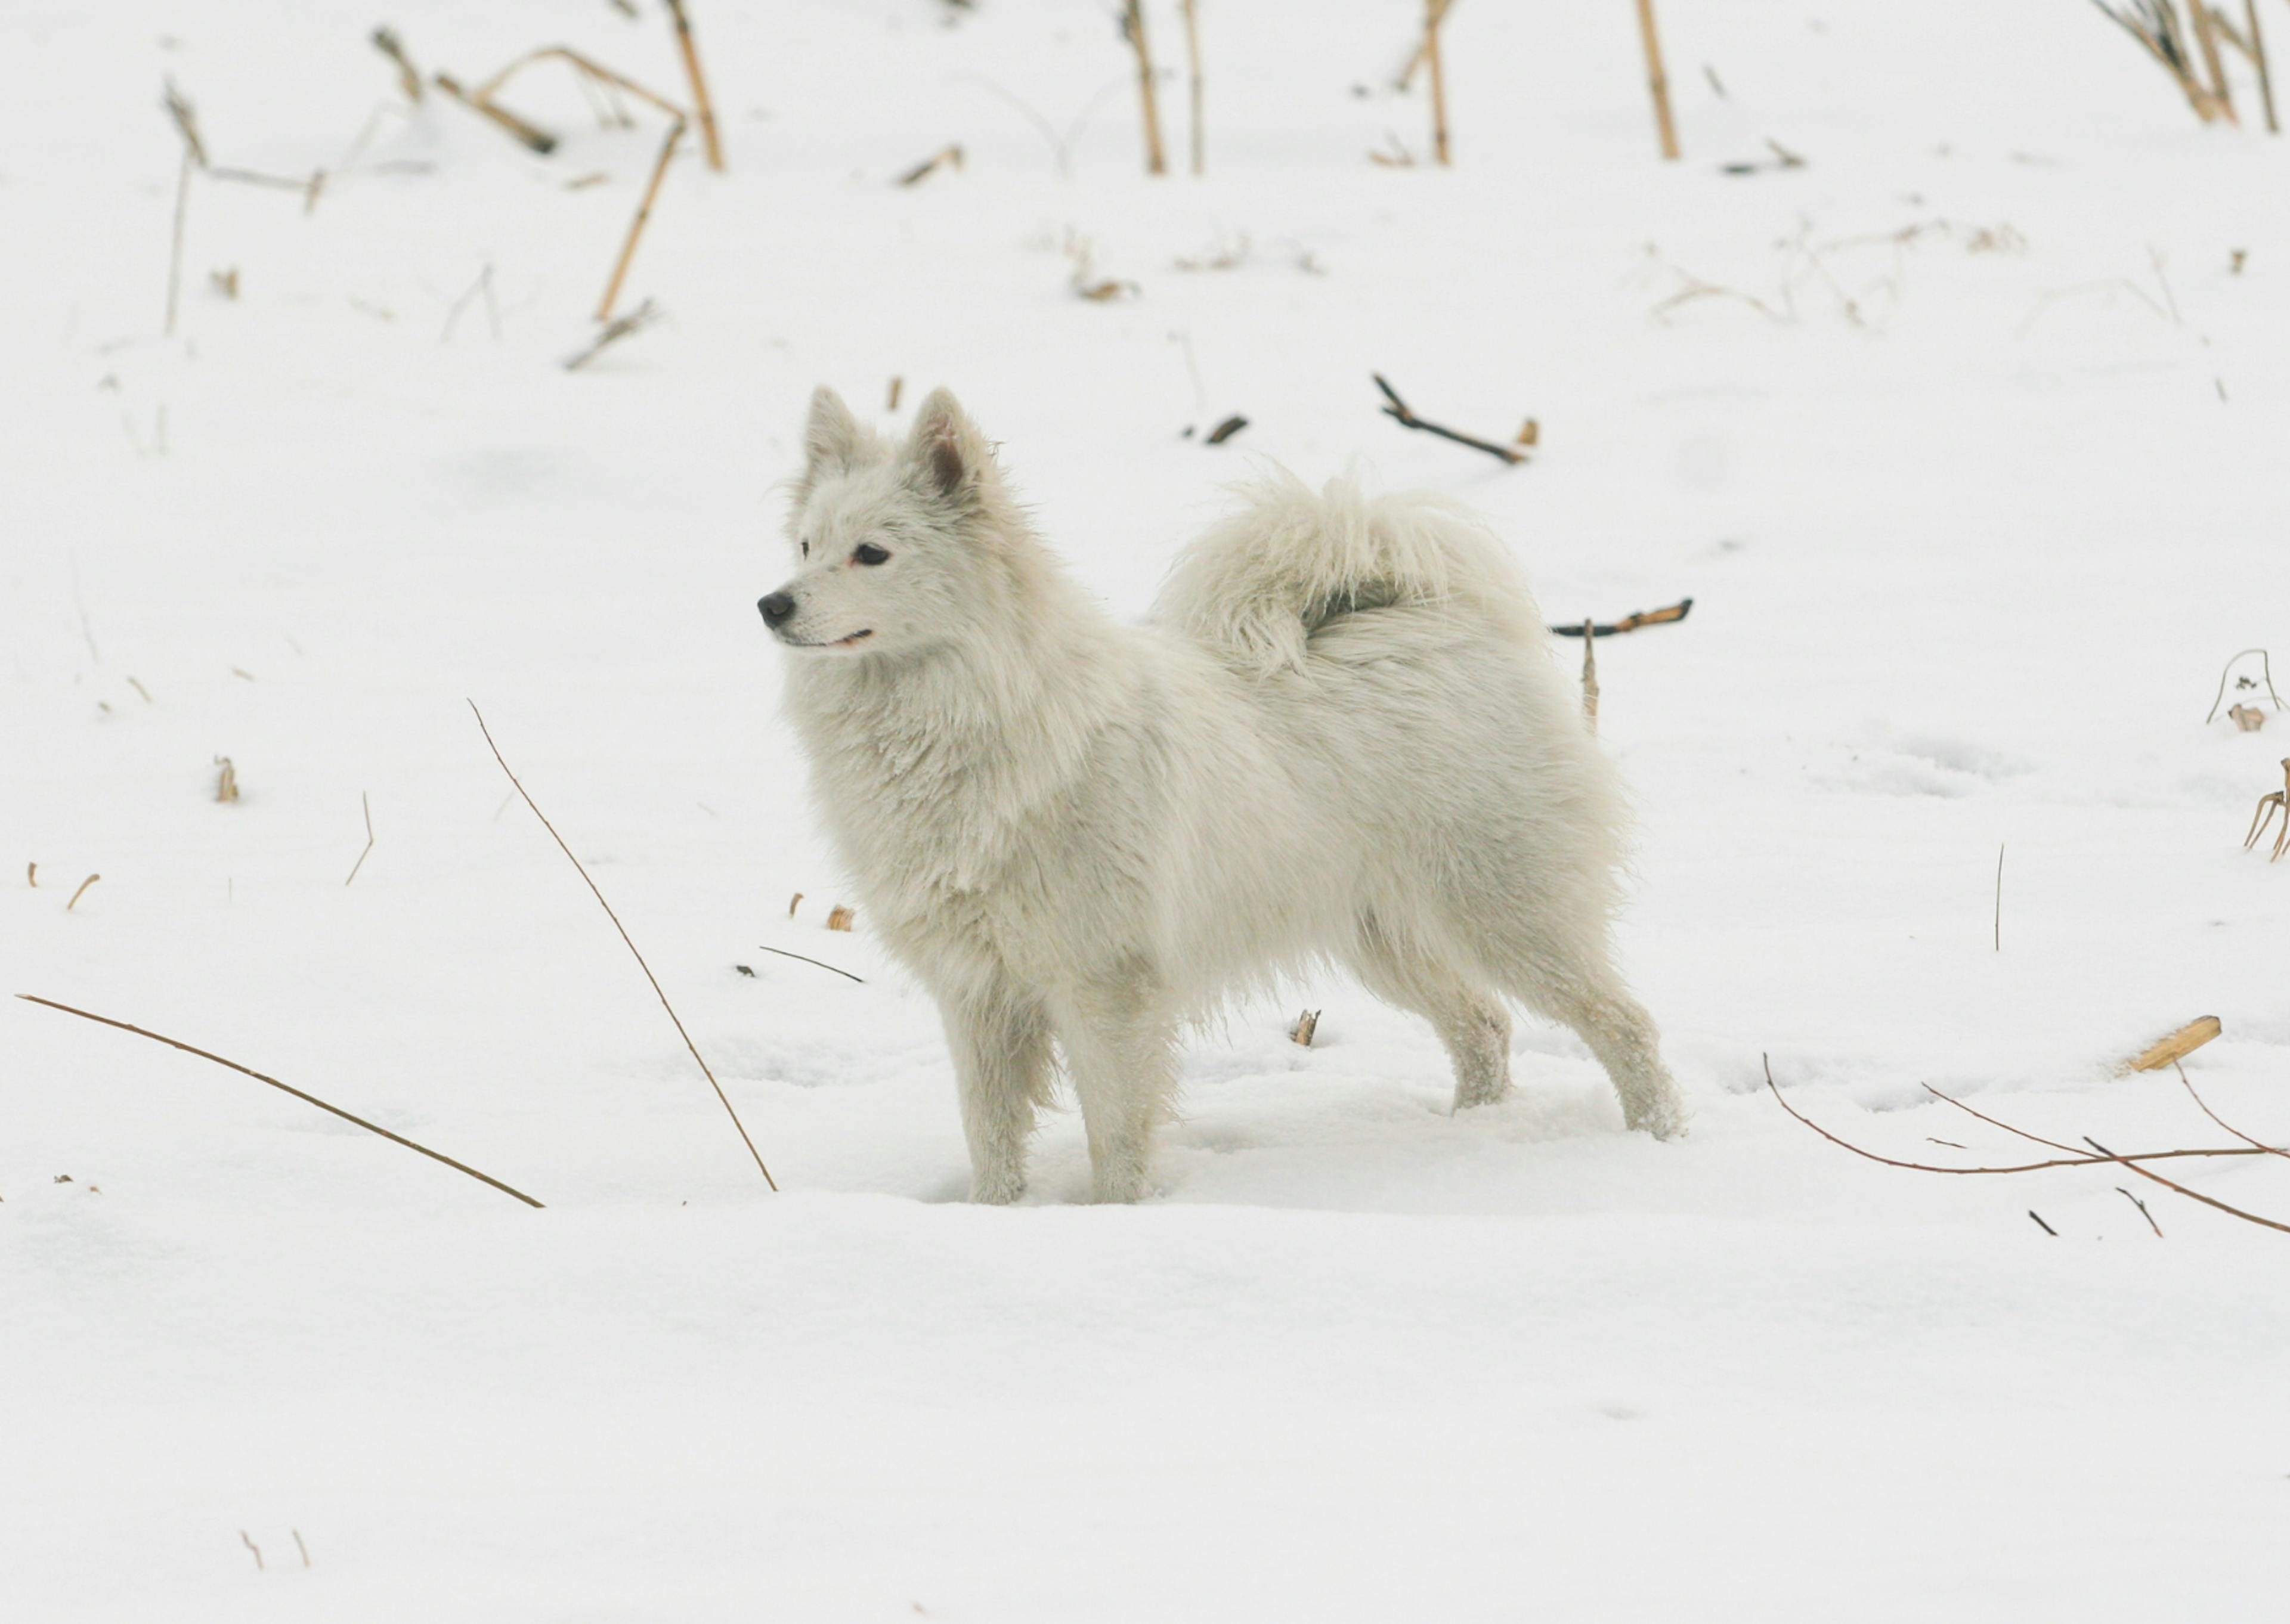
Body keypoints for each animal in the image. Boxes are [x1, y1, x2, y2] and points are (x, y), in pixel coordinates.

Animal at [760, 387, 1676, 1200]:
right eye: (804, 547)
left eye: (872, 553)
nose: (770, 605)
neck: (969, 713)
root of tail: (1435, 619)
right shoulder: (978, 996)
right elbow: (991, 1144)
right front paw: (997, 1218)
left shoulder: (1105, 992)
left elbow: (1117, 1142)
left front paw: (1117, 1217)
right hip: (1386, 934)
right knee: (1485, 1026)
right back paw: (1469, 1137)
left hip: (1509, 915)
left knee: (1625, 1025)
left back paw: (1659, 1144)